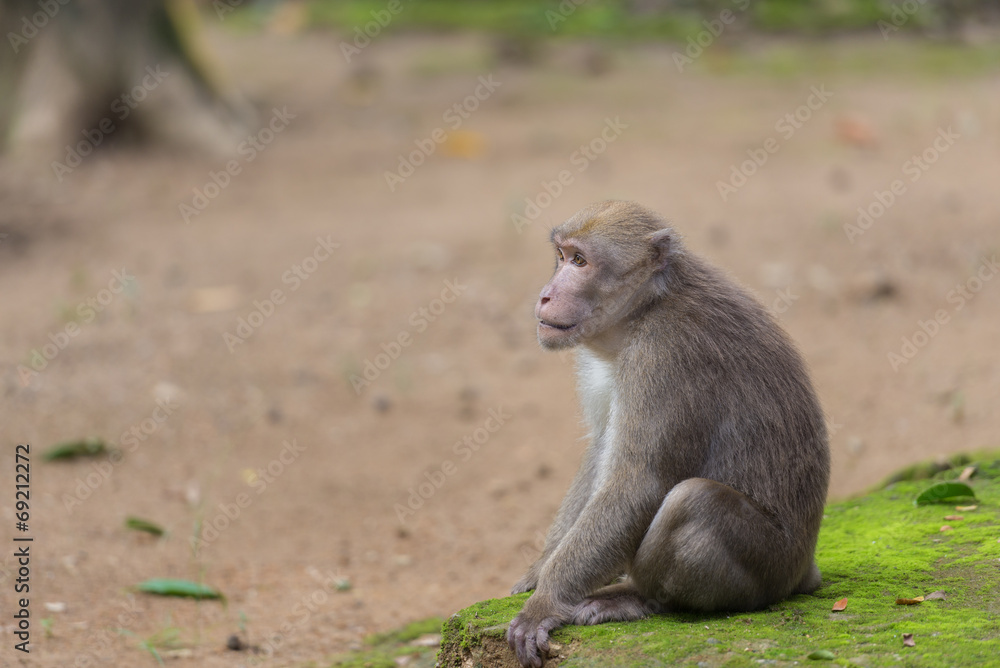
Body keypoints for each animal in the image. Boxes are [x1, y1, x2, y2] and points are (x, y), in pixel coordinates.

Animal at [507, 201, 830, 668]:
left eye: (581, 262)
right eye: (562, 256)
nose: (546, 294)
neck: (644, 309)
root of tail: (805, 570)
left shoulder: (664, 355)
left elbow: (638, 484)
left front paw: (545, 603)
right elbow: (602, 449)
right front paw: (539, 570)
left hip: (772, 565)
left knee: (692, 501)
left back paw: (641, 598)